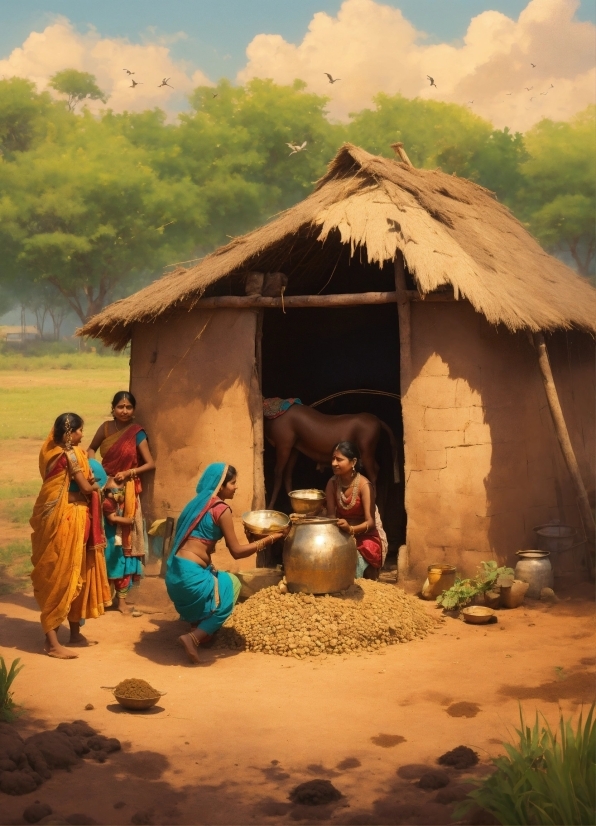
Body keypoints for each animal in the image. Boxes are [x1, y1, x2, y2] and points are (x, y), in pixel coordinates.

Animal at [264, 402, 396, 506]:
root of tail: (378, 421)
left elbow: (277, 474)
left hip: (366, 449)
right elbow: (285, 475)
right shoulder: (292, 447)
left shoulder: (283, 444)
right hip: (293, 449)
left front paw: (269, 507)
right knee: (287, 474)